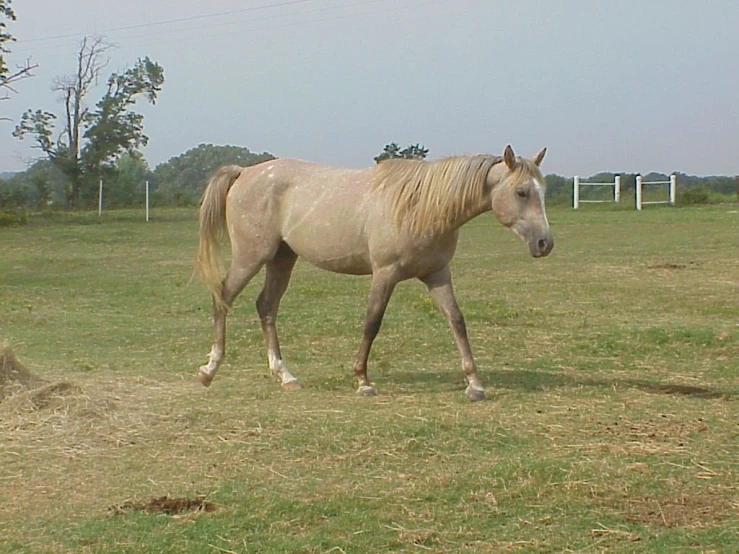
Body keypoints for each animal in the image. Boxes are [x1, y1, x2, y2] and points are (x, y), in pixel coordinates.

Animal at [194, 144, 552, 398]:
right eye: (521, 192)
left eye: (542, 191)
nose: (545, 243)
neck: (421, 205)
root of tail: (243, 173)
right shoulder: (385, 273)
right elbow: (372, 322)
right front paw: (362, 380)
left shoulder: (437, 274)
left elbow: (457, 321)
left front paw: (474, 384)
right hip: (251, 256)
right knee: (223, 297)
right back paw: (209, 370)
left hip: (282, 259)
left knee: (266, 306)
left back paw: (285, 376)